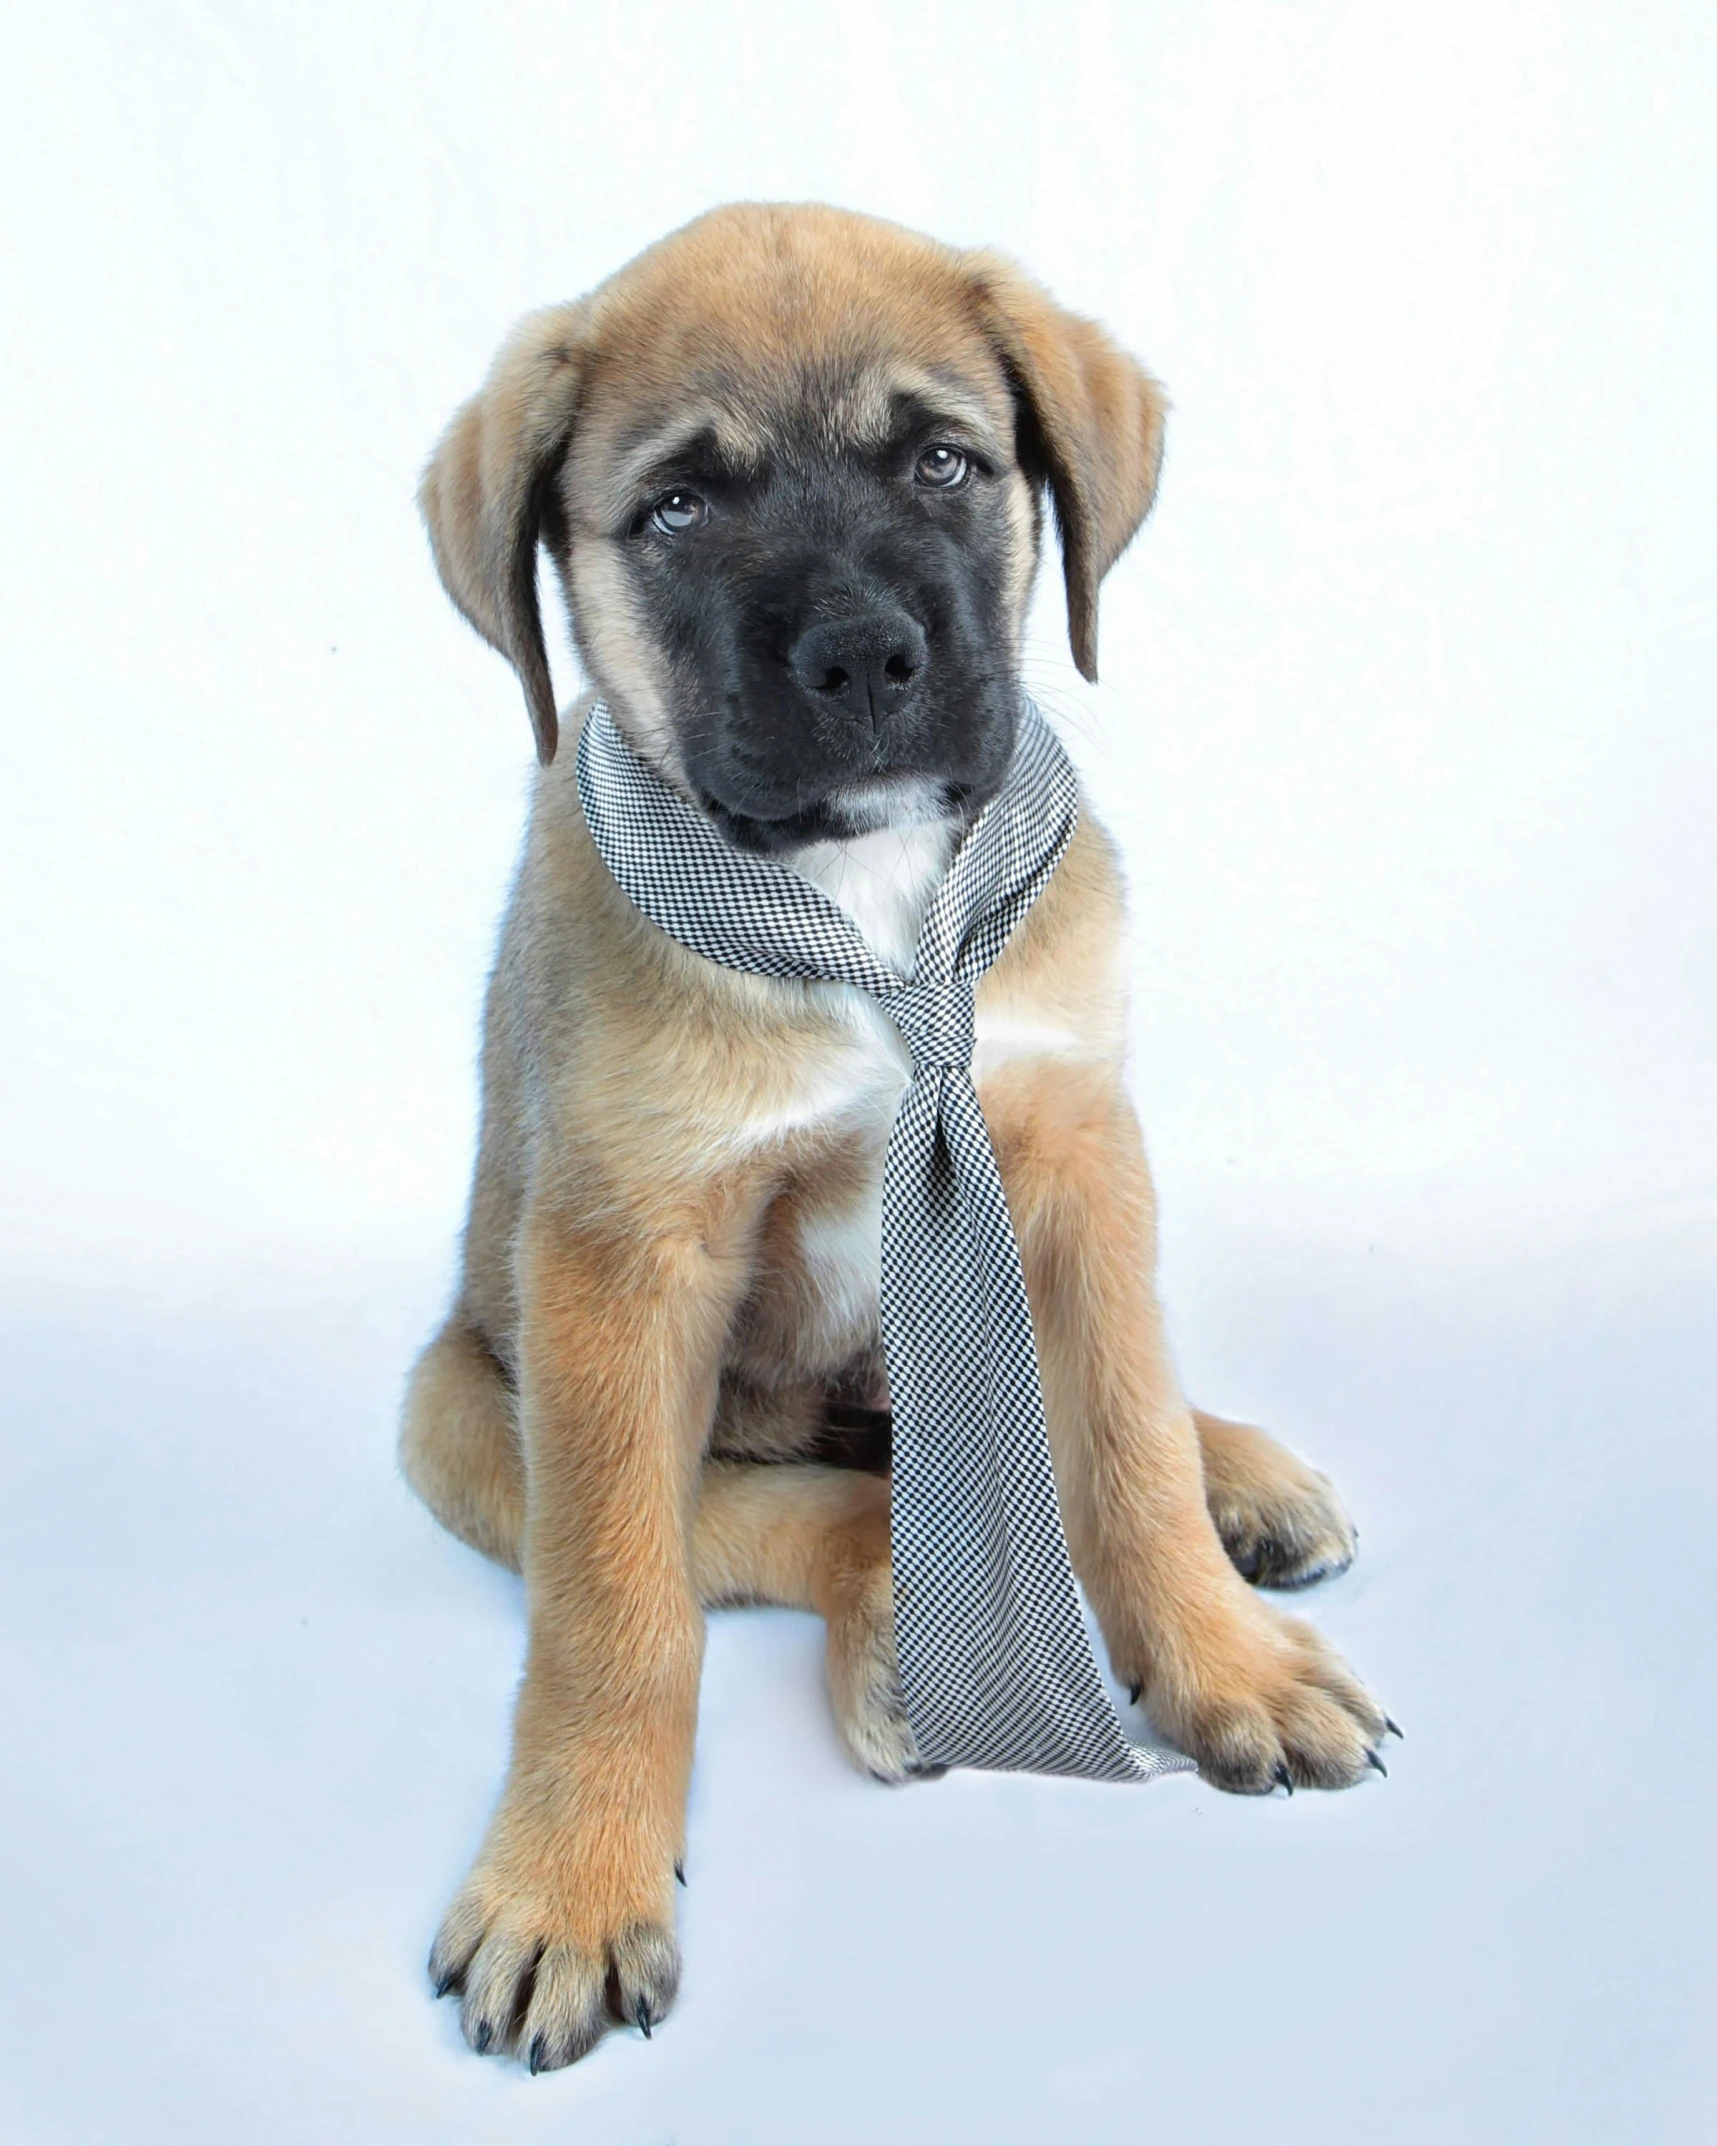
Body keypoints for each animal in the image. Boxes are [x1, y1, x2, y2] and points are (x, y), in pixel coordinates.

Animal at [399, 209, 1382, 2068]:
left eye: (941, 463)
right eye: (677, 510)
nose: (860, 655)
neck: (863, 903)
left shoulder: (1071, 1151)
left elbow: (1125, 1440)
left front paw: (1218, 1655)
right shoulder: (621, 1264)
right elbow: (615, 1613)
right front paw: (572, 1875)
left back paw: (1241, 1477)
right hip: (464, 1413)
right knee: (812, 1520)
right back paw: (903, 1641)